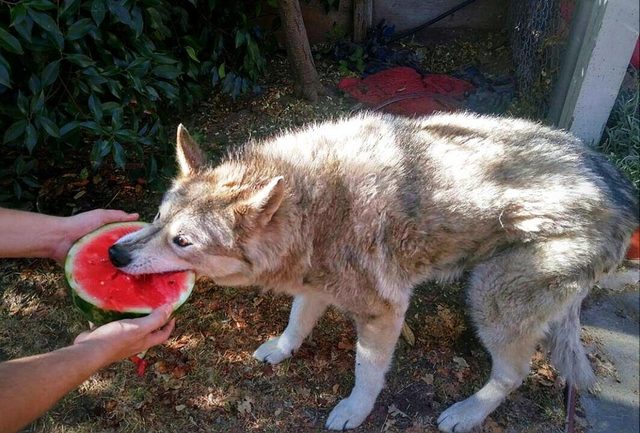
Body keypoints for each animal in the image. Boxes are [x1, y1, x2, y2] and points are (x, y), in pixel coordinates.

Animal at [109, 112, 638, 432]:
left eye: (183, 242)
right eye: (158, 218)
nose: (115, 255)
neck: (315, 206)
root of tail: (619, 191)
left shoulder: (385, 311)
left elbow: (367, 373)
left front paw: (353, 412)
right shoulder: (314, 285)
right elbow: (296, 323)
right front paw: (280, 350)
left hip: (490, 301)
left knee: (514, 373)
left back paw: (466, 414)